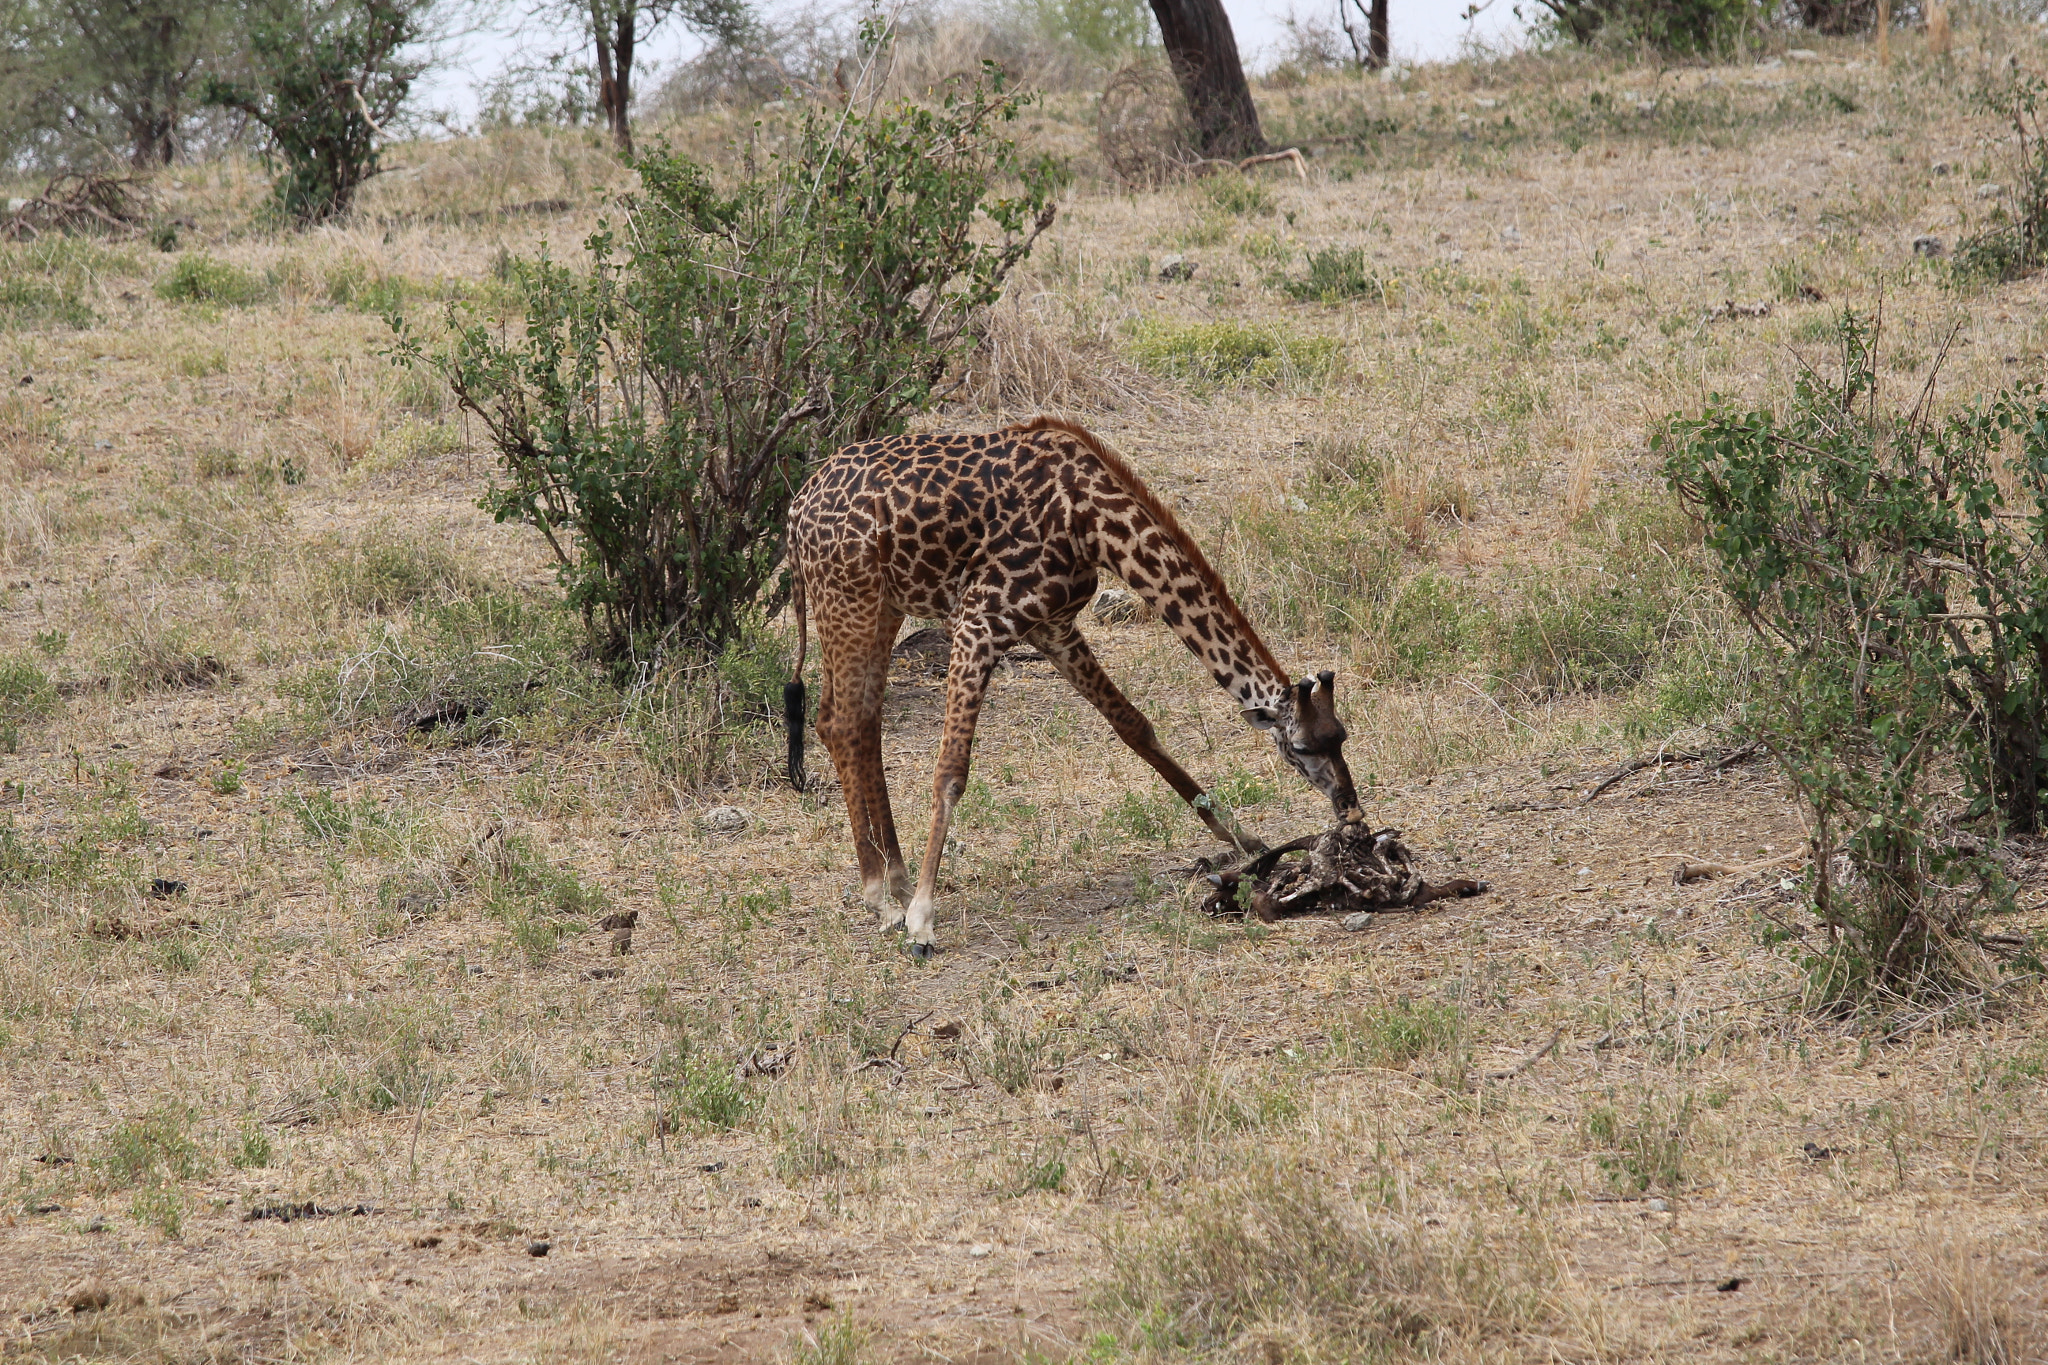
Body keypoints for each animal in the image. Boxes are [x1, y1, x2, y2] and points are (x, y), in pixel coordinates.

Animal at [782, 411, 1359, 957]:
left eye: (1342, 736)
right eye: (1302, 747)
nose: (1351, 810)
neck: (1092, 523)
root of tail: (793, 514)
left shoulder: (1053, 627)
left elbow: (1135, 727)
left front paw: (1246, 840)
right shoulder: (978, 622)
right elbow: (950, 772)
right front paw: (923, 920)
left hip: (883, 604)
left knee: (855, 721)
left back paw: (895, 884)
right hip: (850, 598)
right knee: (843, 722)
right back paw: (884, 898)